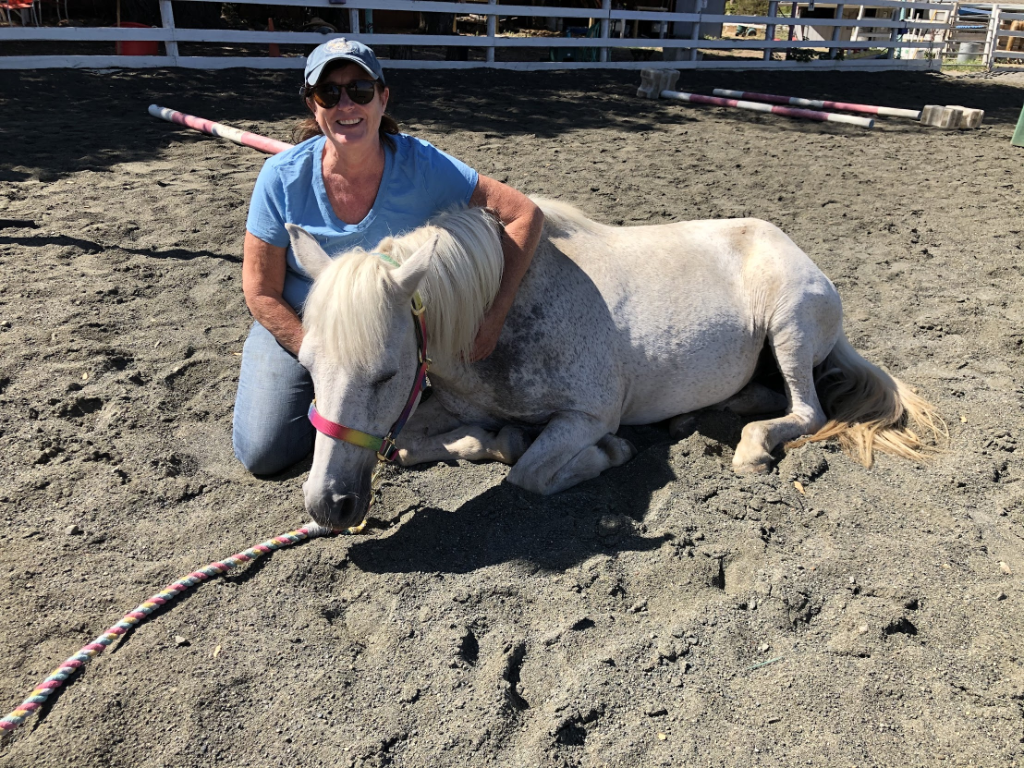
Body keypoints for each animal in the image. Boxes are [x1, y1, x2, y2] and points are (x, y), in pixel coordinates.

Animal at [289, 200, 944, 532]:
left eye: (386, 373)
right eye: (307, 366)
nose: (328, 506)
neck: (499, 319)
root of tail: (802, 255)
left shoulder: (588, 415)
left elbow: (528, 474)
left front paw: (609, 455)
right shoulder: (445, 405)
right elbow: (422, 445)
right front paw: (493, 439)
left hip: (790, 326)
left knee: (805, 410)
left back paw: (752, 445)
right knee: (768, 395)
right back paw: (697, 417)